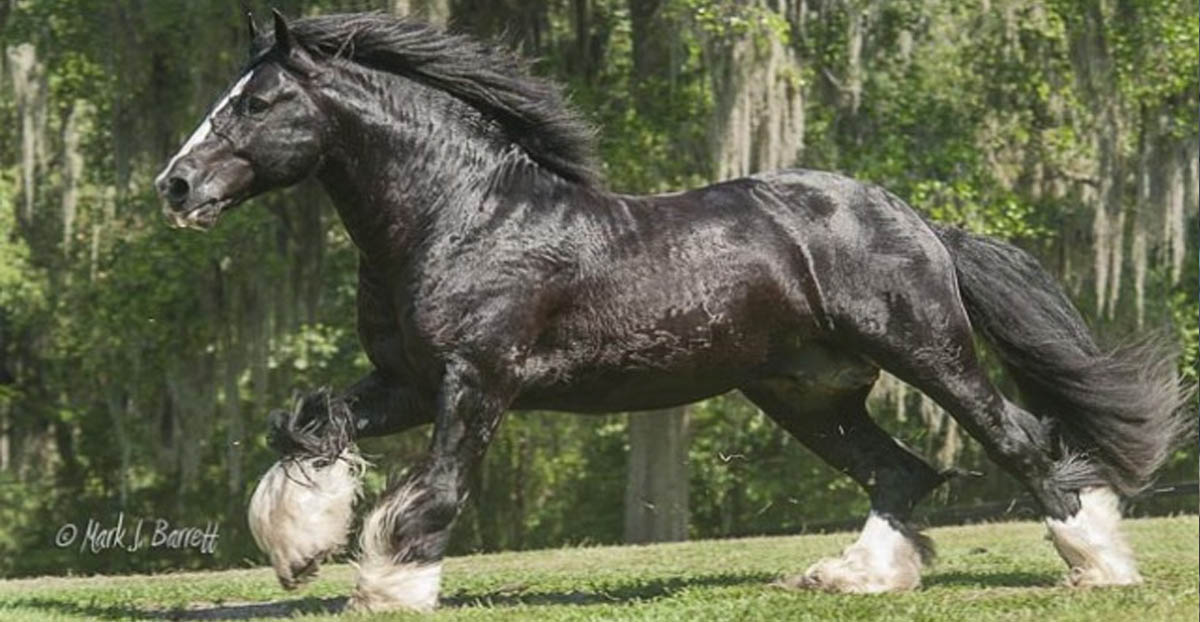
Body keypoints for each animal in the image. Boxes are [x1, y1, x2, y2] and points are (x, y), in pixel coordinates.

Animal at [157, 12, 1190, 614]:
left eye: (258, 101)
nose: (175, 185)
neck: (462, 214)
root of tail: (917, 220)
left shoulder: (477, 380)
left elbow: (440, 485)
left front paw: (392, 584)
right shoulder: (403, 381)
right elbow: (304, 423)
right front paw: (300, 553)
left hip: (926, 354)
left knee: (1017, 440)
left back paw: (1099, 566)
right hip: (805, 394)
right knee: (898, 472)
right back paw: (847, 577)